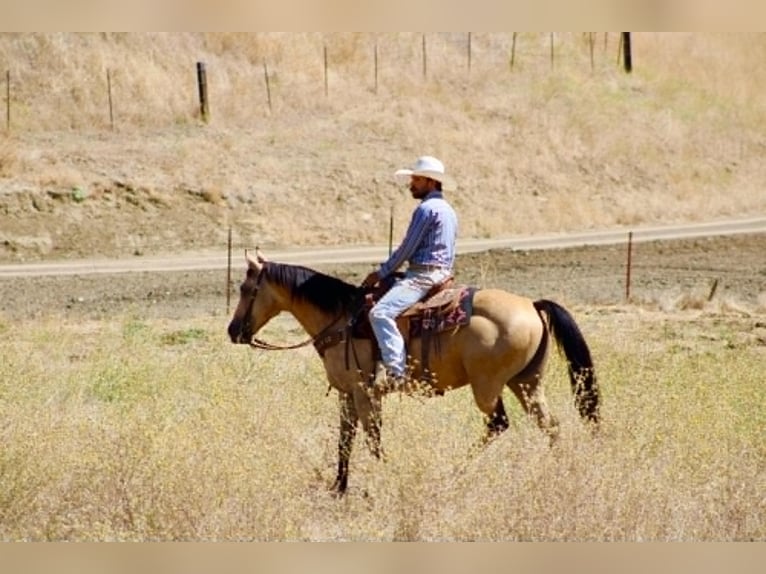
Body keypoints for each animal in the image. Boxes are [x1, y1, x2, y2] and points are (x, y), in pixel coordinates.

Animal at [227, 249, 600, 495]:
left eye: (245, 289)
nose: (233, 331)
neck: (341, 318)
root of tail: (532, 306)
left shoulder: (365, 392)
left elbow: (372, 440)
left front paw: (387, 478)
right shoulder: (348, 393)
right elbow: (345, 440)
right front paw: (338, 488)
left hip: (488, 387)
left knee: (498, 424)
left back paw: (453, 473)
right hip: (526, 383)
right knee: (550, 425)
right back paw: (558, 473)